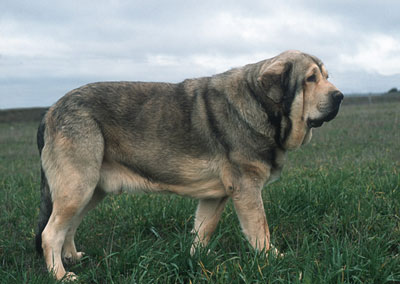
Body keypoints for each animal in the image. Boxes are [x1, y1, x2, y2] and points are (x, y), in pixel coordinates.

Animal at [36, 50, 344, 280]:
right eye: (311, 78)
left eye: (326, 77)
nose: (340, 96)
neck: (261, 104)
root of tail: (50, 111)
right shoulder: (247, 189)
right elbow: (260, 231)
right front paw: (273, 259)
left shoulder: (215, 197)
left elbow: (202, 232)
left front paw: (199, 261)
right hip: (78, 187)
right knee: (50, 233)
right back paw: (60, 275)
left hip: (90, 190)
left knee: (69, 227)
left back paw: (71, 257)